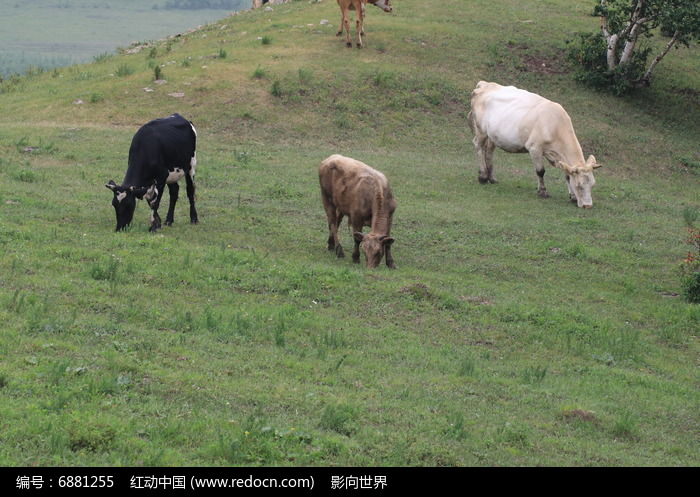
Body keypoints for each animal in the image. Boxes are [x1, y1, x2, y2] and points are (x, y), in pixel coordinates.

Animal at [468, 81, 600, 207]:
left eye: (592, 185)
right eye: (579, 186)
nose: (588, 206)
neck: (555, 125)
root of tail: (485, 84)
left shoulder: (560, 157)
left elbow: (567, 175)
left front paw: (572, 197)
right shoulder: (534, 148)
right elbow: (540, 171)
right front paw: (542, 191)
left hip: (493, 135)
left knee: (489, 151)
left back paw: (492, 178)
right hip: (481, 130)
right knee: (478, 146)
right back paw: (483, 177)